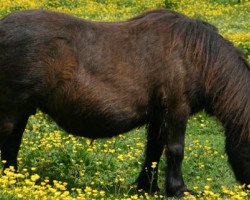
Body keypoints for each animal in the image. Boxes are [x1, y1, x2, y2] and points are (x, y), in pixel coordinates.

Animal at [0, 9, 248, 197]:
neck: (195, 57)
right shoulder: (177, 109)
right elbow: (175, 150)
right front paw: (179, 190)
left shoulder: (159, 115)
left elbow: (153, 151)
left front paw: (146, 187)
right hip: (11, 109)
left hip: (22, 111)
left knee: (12, 143)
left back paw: (13, 180)